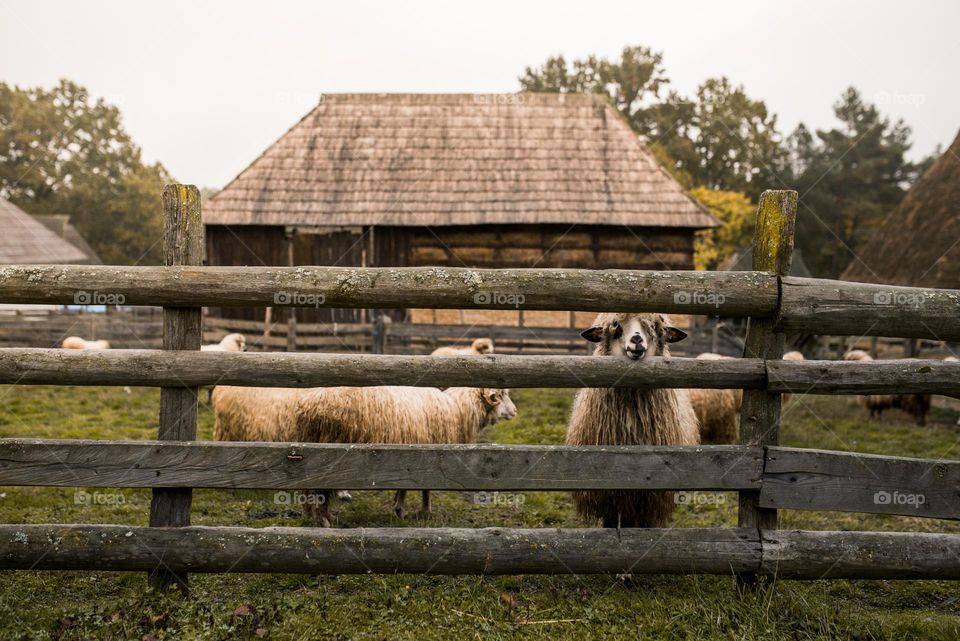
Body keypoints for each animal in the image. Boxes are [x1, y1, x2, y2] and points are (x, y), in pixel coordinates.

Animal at [294, 385, 517, 524]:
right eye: (500, 395)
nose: (515, 411)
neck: (457, 411)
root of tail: (308, 406)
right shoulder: (428, 454)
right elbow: (424, 489)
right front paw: (421, 511)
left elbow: (404, 487)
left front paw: (398, 507)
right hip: (328, 452)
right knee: (320, 488)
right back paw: (323, 519)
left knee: (308, 488)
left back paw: (312, 516)